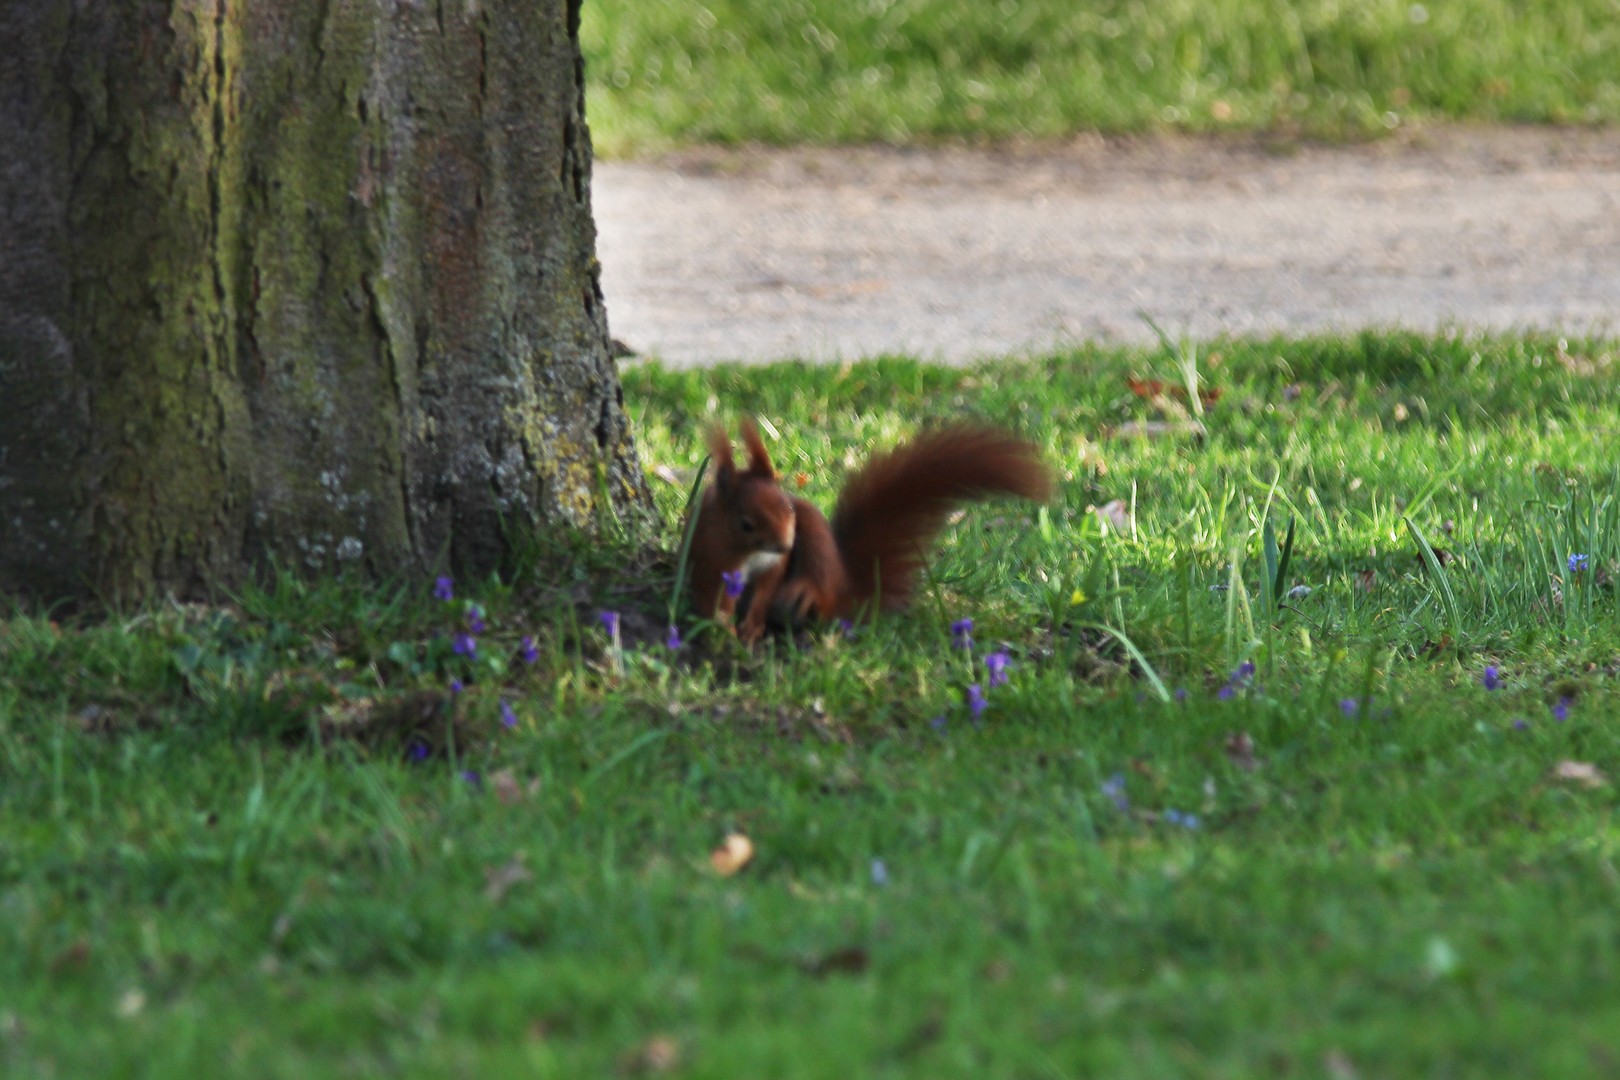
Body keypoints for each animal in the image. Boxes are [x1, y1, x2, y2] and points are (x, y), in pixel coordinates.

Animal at [683, 420, 1049, 641]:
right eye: (746, 524)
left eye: (788, 509)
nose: (786, 545)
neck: (751, 552)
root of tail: (848, 592)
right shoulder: (714, 558)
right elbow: (712, 593)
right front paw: (724, 628)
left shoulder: (775, 562)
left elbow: (766, 587)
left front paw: (751, 625)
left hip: (816, 542)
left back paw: (804, 593)